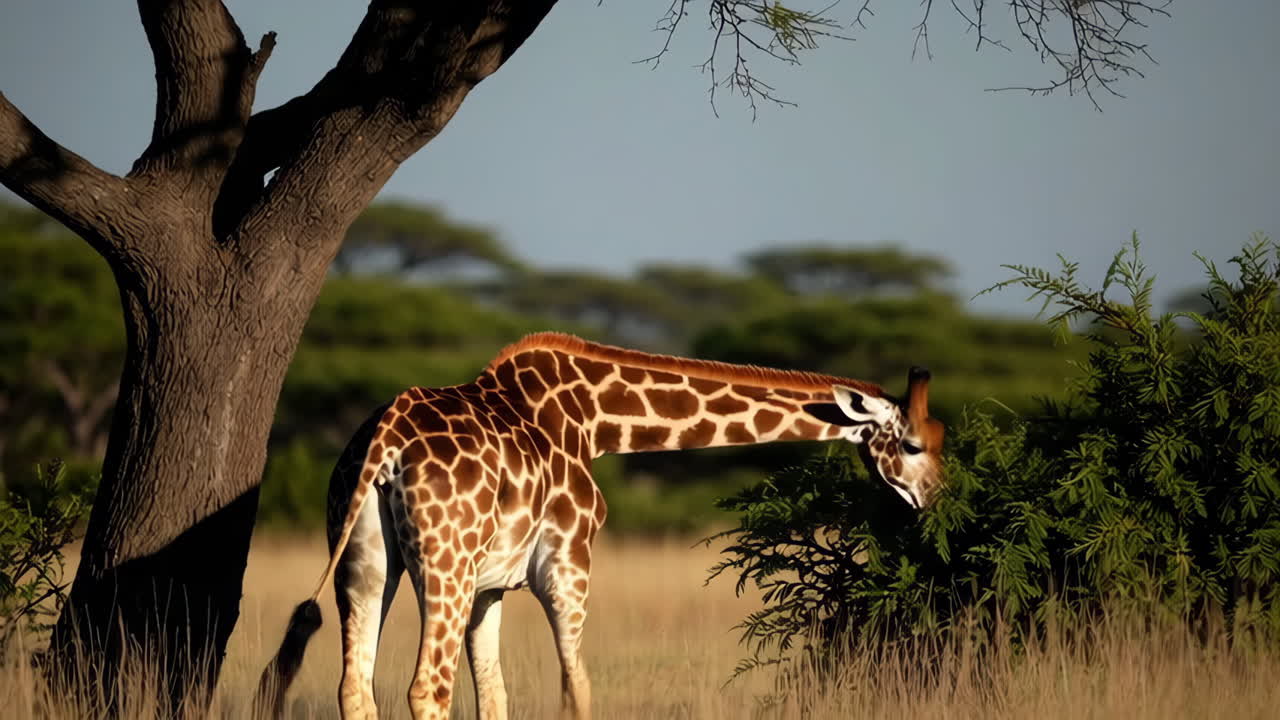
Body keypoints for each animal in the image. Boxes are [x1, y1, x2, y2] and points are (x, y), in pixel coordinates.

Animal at [255, 332, 945, 720]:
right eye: (914, 444)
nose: (937, 499)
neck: (595, 418)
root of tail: (386, 439)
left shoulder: (490, 583)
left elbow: (496, 697)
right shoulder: (568, 563)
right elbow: (576, 688)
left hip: (367, 560)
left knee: (356, 686)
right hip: (442, 563)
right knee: (426, 689)